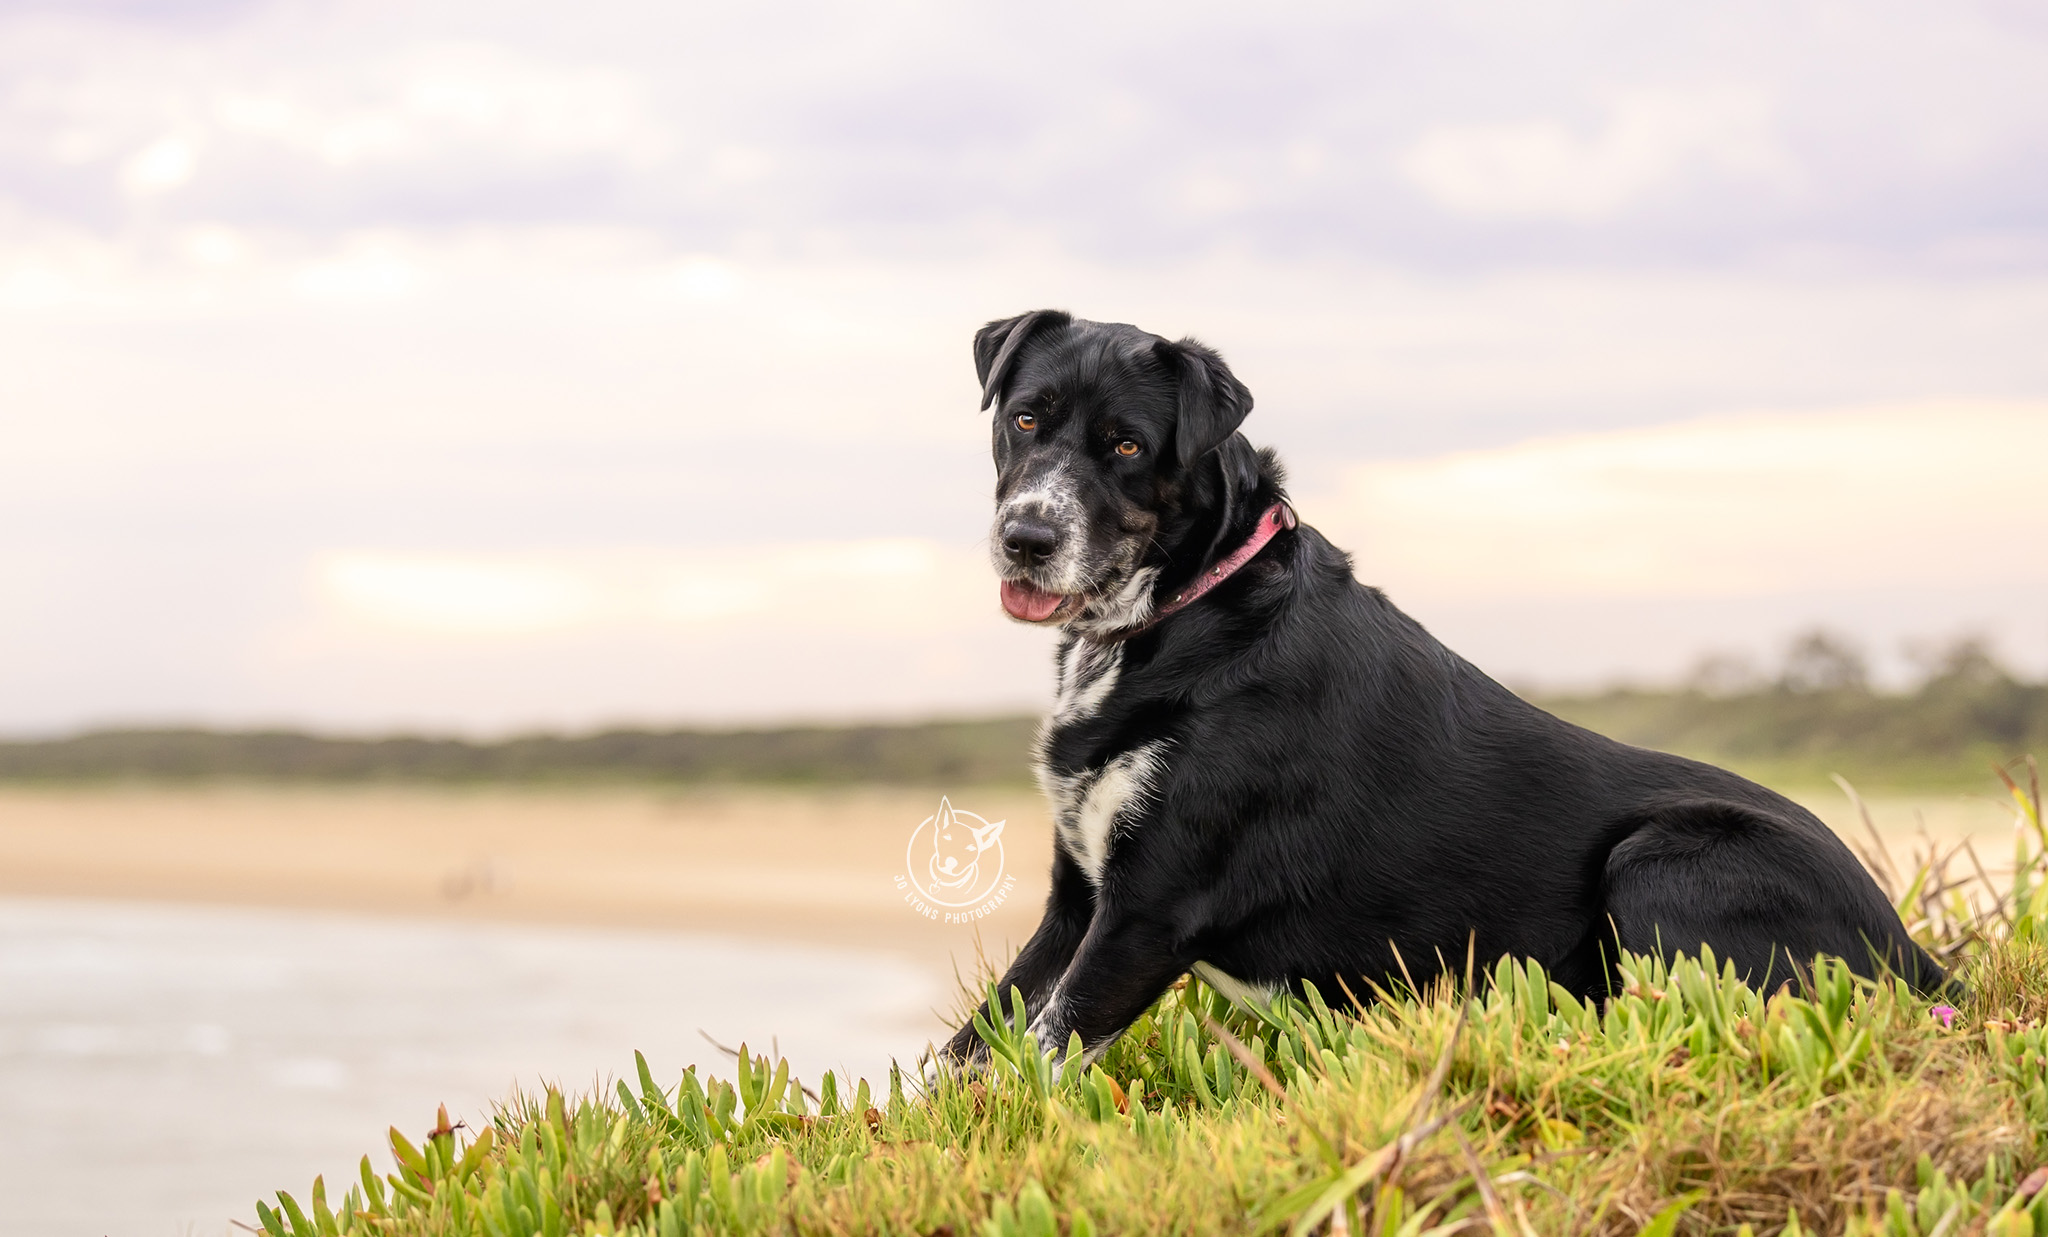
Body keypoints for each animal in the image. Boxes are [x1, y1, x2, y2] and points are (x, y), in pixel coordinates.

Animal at [937, 307, 1941, 1064]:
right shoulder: (1079, 896)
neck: (1188, 606)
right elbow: (974, 1044)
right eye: (1024, 419)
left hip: (1665, 855)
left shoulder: (1147, 909)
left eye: (1127, 445)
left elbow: (1039, 1051)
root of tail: (1919, 956)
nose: (1026, 538)